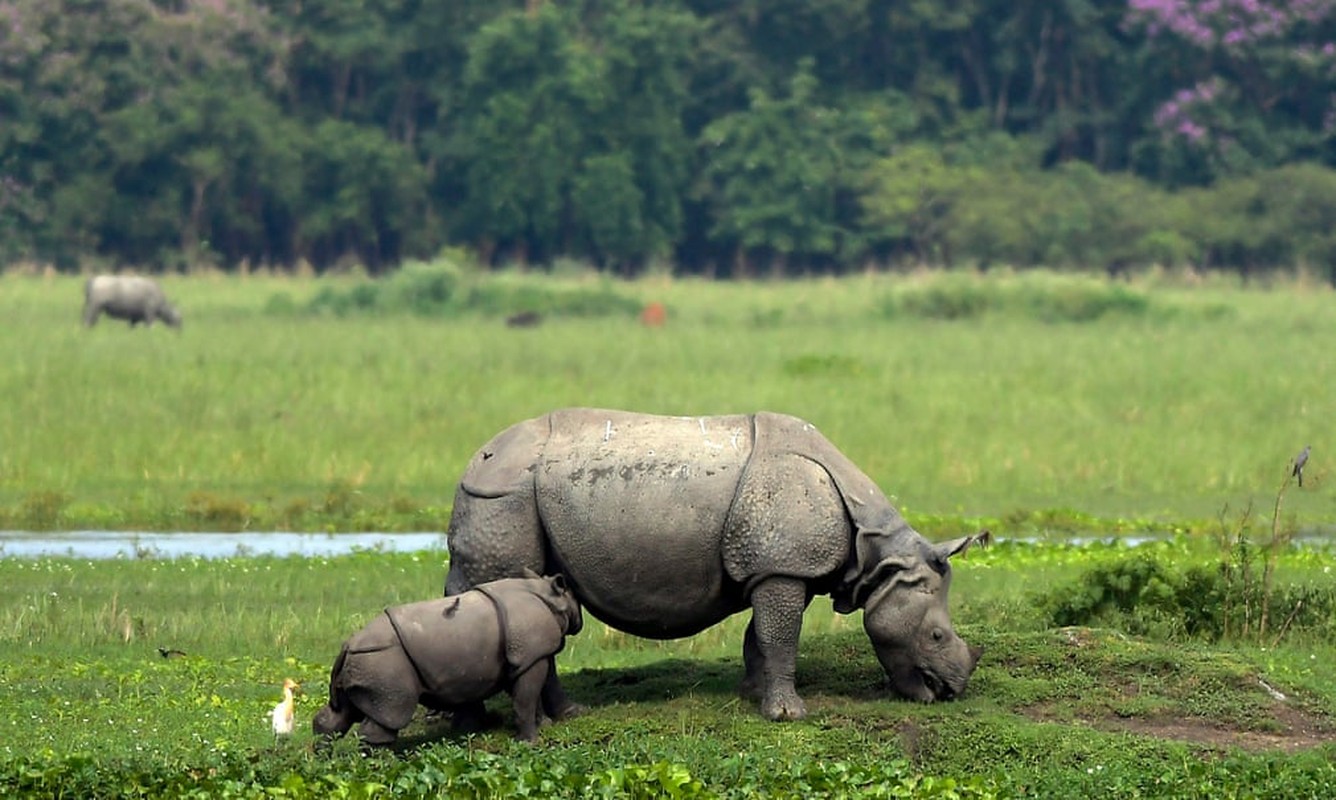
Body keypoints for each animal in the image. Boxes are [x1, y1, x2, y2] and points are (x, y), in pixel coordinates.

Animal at [315, 571, 587, 742]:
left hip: (364, 661)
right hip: (384, 660)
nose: (580, 621)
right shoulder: (530, 655)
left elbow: (527, 695)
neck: (546, 595)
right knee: (391, 713)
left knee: (343, 712)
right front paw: (529, 742)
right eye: (575, 601)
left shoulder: (523, 656)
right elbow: (526, 698)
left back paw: (324, 758)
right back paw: (383, 765)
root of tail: (347, 645)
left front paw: (543, 726)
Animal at [443, 411, 988, 721]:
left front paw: (753, 695)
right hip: (504, 496)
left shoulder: (777, 565)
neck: (879, 552)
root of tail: (476, 457)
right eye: (936, 635)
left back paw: (560, 714)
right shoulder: (782, 566)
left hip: (502, 495)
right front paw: (789, 716)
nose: (951, 691)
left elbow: (761, 636)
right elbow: (780, 635)